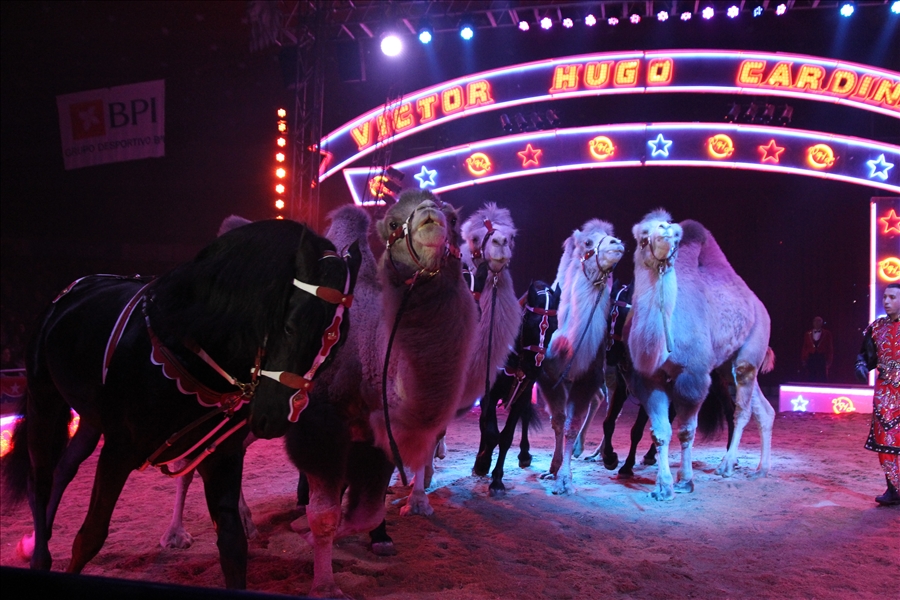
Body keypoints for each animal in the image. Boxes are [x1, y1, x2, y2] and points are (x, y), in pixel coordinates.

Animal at [1, 219, 362, 589]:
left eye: (336, 344)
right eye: (289, 327)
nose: (277, 416)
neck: (188, 349)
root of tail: (71, 291)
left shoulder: (221, 456)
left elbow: (232, 547)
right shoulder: (119, 450)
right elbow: (90, 536)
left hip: (89, 421)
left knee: (64, 469)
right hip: (44, 400)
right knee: (40, 481)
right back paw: (39, 554)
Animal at [283, 190, 477, 597]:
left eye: (452, 217)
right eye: (392, 223)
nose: (430, 219)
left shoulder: (377, 435)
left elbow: (367, 511)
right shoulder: (318, 424)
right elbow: (324, 514)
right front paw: (324, 584)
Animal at [472, 279, 560, 496]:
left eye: (554, 326)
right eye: (527, 320)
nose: (534, 366)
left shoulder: (523, 394)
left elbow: (506, 437)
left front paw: (497, 479)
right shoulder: (489, 394)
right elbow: (491, 432)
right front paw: (483, 460)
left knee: (525, 418)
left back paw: (524, 454)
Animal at [535, 219, 625, 495]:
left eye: (609, 235)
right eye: (587, 242)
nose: (617, 243)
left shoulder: (586, 376)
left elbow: (570, 425)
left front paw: (564, 480)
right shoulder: (548, 377)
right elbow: (557, 420)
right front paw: (552, 469)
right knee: (603, 400)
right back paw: (590, 452)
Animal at [625, 209, 775, 501]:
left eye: (675, 234)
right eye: (642, 236)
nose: (665, 229)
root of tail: (760, 306)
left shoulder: (692, 376)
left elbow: (685, 431)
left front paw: (685, 481)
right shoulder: (647, 379)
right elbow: (660, 432)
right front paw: (663, 486)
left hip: (751, 350)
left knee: (742, 409)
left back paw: (727, 465)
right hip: (726, 366)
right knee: (764, 409)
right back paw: (761, 470)